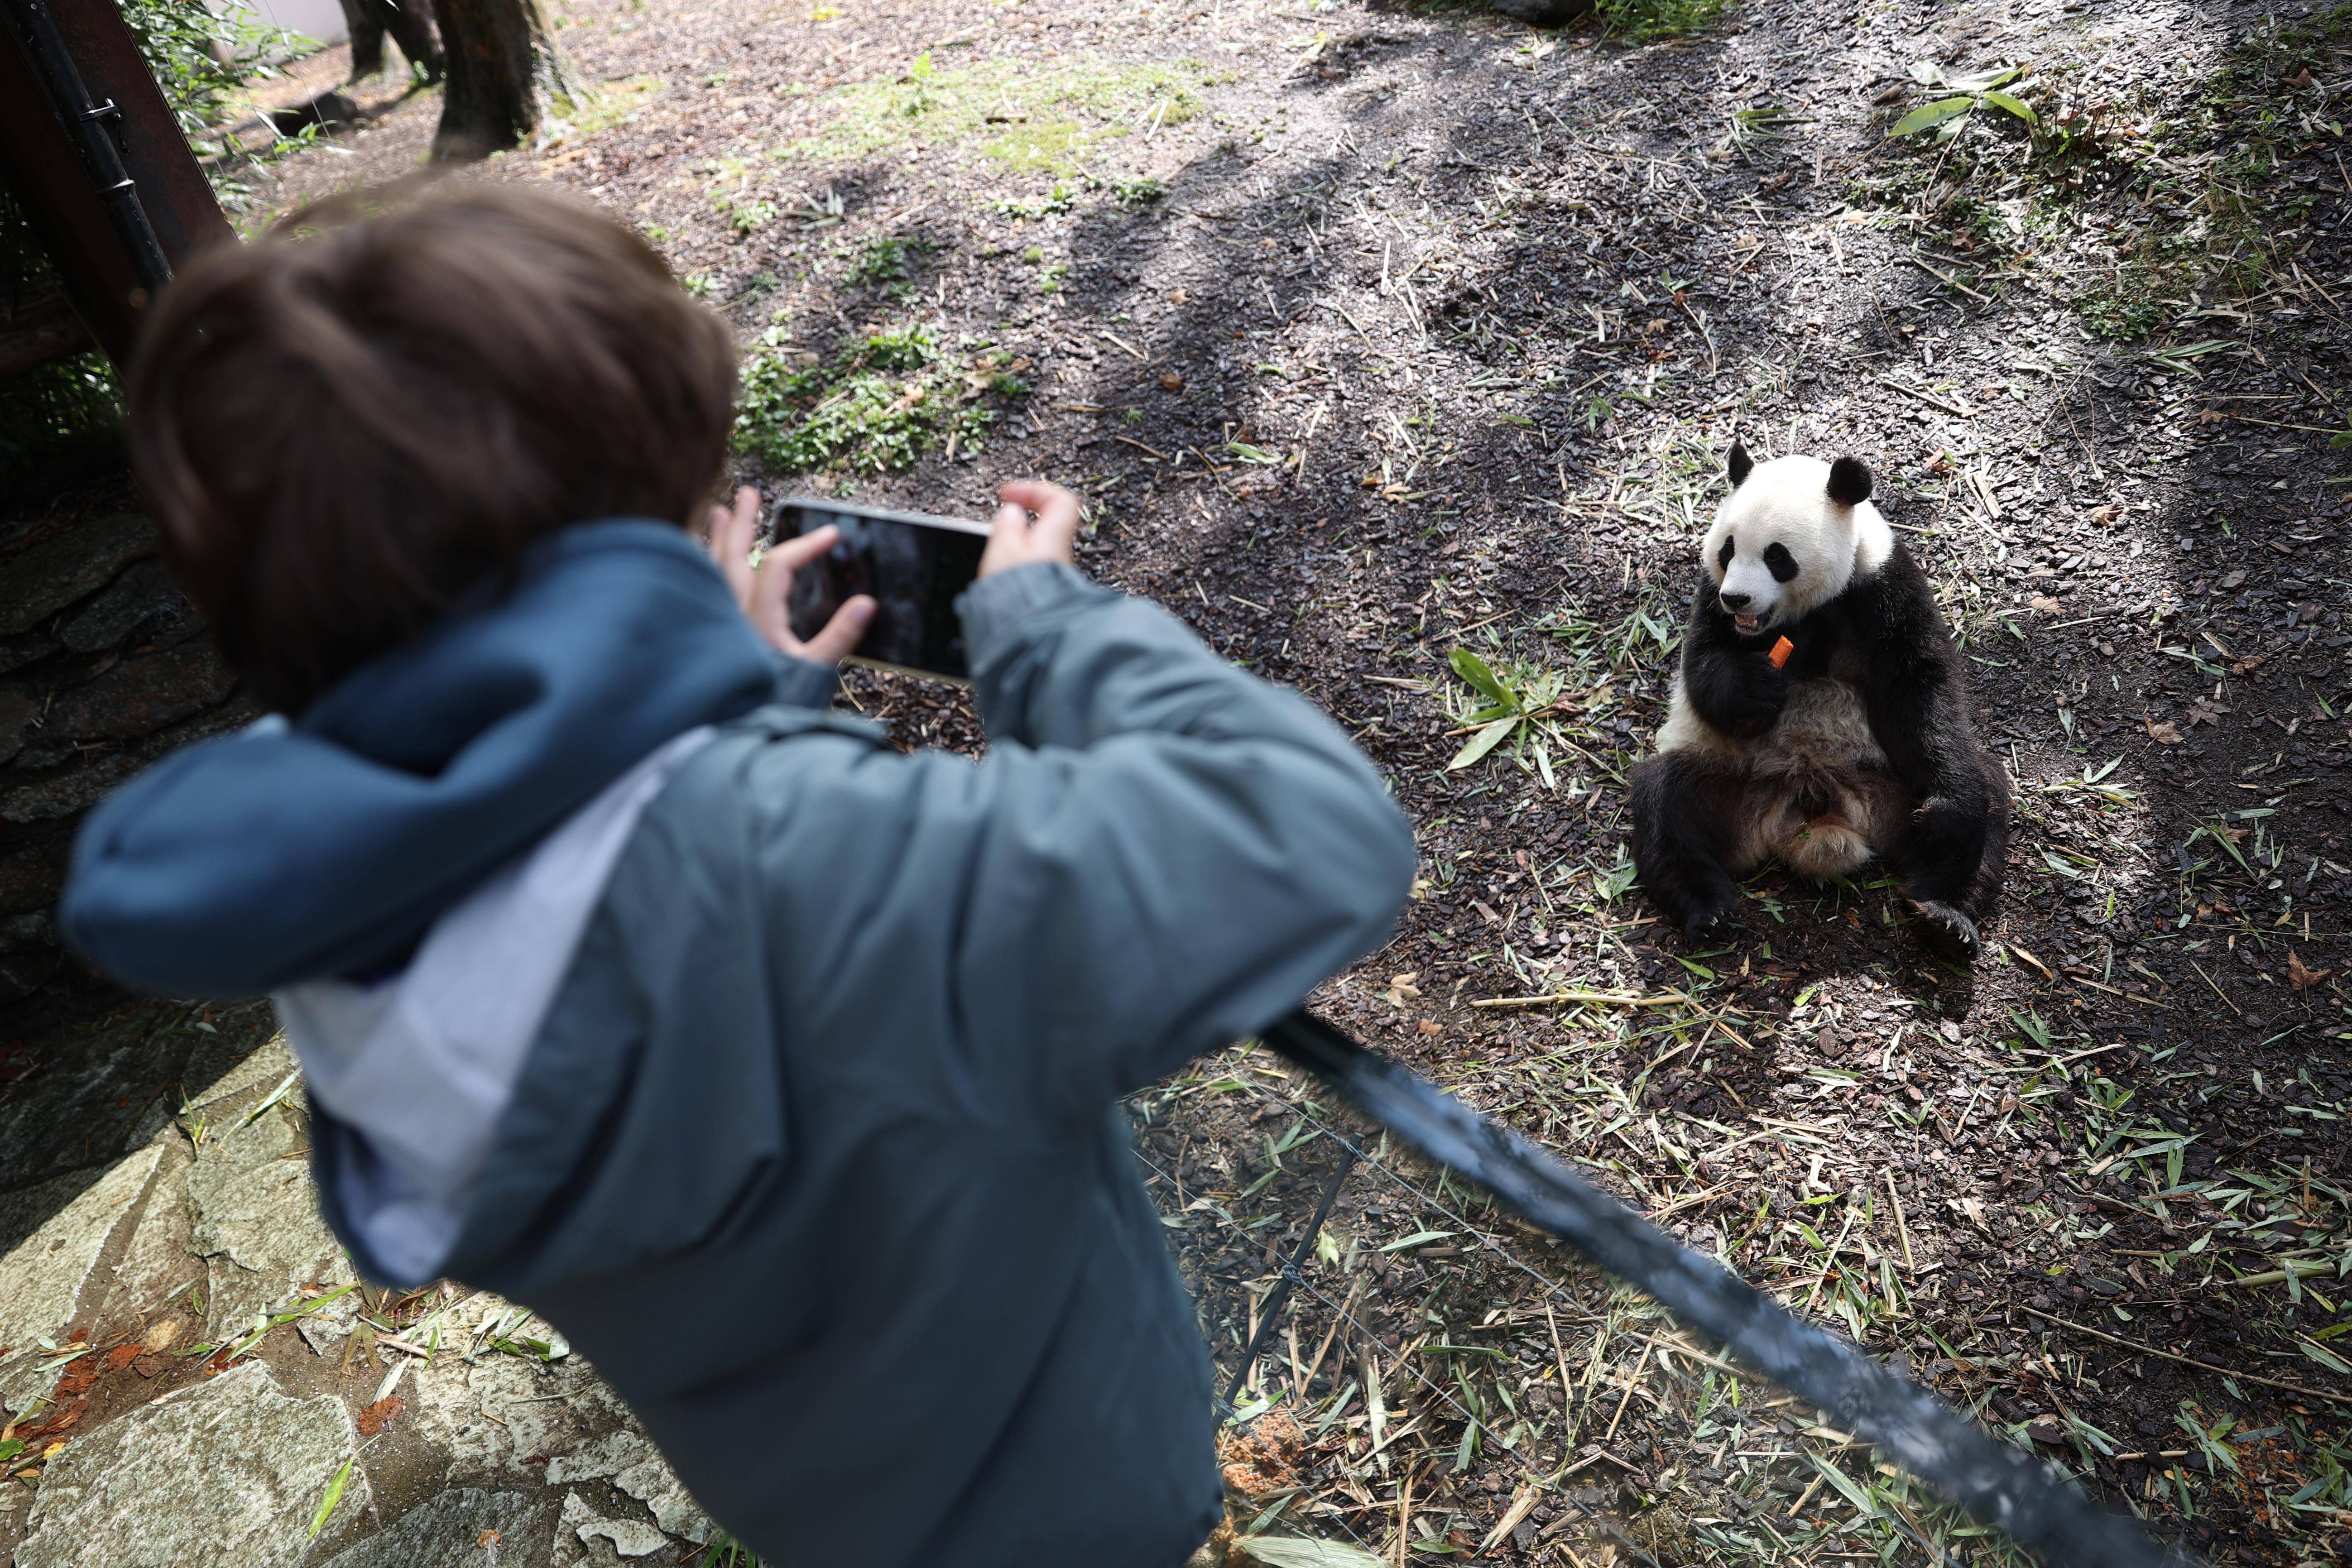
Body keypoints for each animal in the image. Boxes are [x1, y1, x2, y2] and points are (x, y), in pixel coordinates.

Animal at [1637, 439, 2004, 959]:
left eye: (1777, 556)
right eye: (1728, 549)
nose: (1737, 600)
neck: (1801, 612)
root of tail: (1815, 811)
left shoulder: (1883, 586)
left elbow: (1920, 689)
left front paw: (1946, 816)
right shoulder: (1709, 595)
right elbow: (1703, 670)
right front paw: (1758, 686)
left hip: (1888, 782)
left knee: (1984, 799)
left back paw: (1945, 916)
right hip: (1728, 778)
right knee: (1666, 805)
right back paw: (1706, 910)